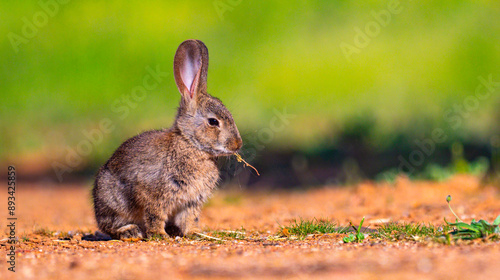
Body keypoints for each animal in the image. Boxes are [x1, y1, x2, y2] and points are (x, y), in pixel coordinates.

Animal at [94, 39, 244, 240]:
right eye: (213, 121)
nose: (237, 144)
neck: (190, 144)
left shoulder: (191, 202)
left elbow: (190, 218)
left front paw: (194, 233)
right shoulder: (153, 193)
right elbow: (154, 214)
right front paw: (159, 234)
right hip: (113, 201)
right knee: (110, 225)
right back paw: (131, 231)